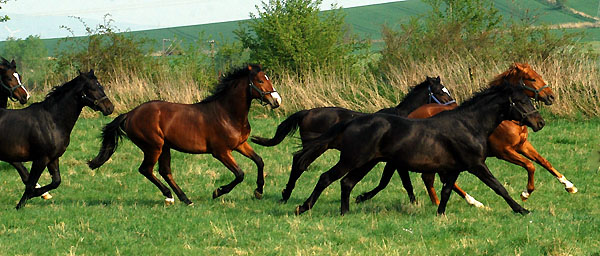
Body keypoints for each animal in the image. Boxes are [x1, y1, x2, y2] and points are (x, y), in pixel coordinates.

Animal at [88, 64, 282, 206]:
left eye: (268, 79)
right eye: (259, 80)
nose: (277, 101)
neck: (227, 113)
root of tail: (130, 114)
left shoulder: (240, 145)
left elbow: (259, 161)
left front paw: (258, 191)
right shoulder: (221, 152)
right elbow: (240, 174)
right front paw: (217, 191)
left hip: (165, 147)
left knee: (165, 171)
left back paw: (185, 199)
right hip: (153, 147)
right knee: (146, 169)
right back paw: (170, 196)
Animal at [251, 76, 452, 202]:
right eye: (441, 92)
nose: (453, 104)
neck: (401, 117)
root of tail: (306, 112)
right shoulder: (394, 160)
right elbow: (395, 182)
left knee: (298, 161)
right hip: (317, 147)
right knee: (299, 162)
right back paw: (285, 194)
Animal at [292, 81, 548, 215]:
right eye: (522, 101)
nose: (540, 122)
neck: (468, 124)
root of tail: (353, 122)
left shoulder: (454, 168)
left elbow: (446, 190)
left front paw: (440, 213)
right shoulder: (476, 165)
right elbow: (498, 187)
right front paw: (521, 209)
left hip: (366, 162)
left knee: (346, 183)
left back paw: (345, 211)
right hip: (352, 159)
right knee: (326, 178)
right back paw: (303, 207)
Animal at [356, 63, 576, 207]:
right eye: (531, 78)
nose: (551, 97)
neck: (503, 118)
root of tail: (410, 115)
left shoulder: (522, 146)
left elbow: (544, 162)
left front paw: (569, 186)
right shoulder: (504, 151)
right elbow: (530, 166)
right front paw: (525, 193)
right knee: (429, 178)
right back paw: (458, 201)